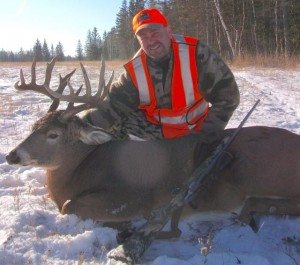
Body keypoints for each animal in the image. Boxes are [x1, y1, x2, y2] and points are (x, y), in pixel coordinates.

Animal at [5, 57, 300, 237]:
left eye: (53, 134)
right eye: (33, 126)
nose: (11, 155)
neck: (79, 172)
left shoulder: (134, 198)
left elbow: (68, 206)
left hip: (258, 170)